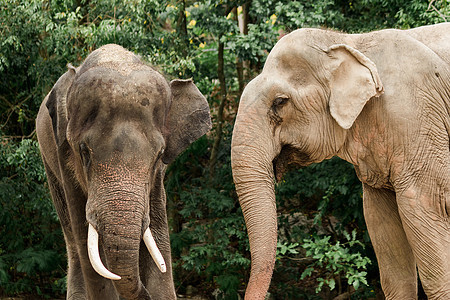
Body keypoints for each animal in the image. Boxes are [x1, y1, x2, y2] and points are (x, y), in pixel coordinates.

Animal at [36, 44, 212, 300]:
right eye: (84, 152)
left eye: (159, 155)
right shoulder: (63, 155)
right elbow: (86, 243)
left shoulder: (156, 181)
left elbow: (158, 234)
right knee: (74, 244)